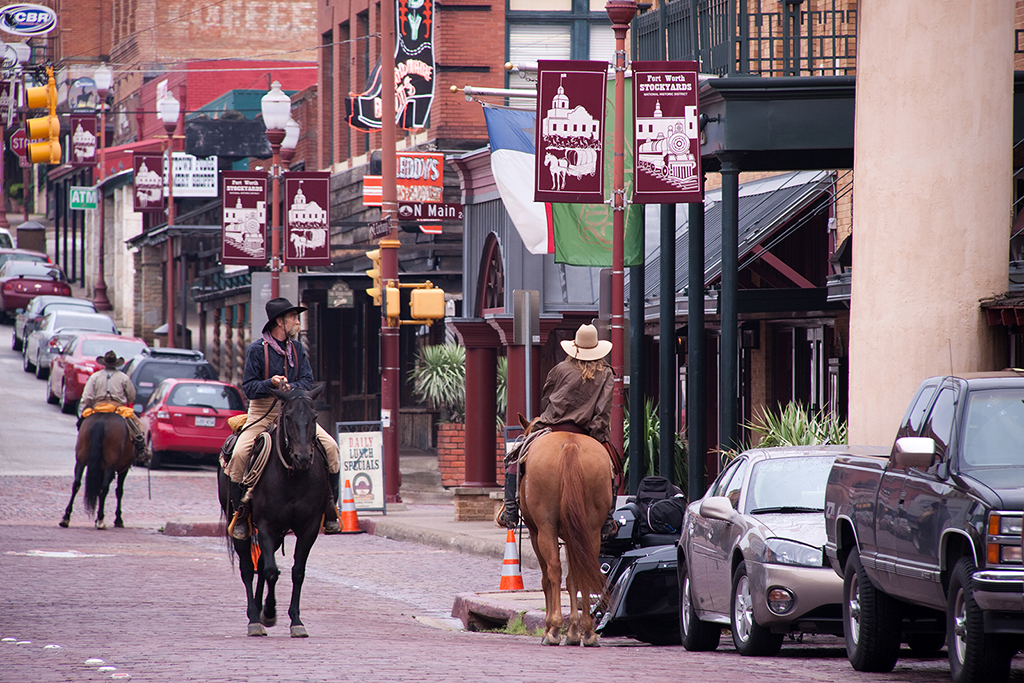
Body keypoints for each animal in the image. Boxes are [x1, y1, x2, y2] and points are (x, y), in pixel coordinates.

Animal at [218, 382, 333, 638]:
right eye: (288, 416)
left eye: (315, 416)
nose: (303, 457)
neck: (292, 477)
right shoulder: (266, 525)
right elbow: (271, 570)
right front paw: (269, 612)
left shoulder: (309, 527)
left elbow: (297, 571)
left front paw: (295, 621)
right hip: (239, 524)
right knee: (248, 568)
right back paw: (254, 617)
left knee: (260, 565)